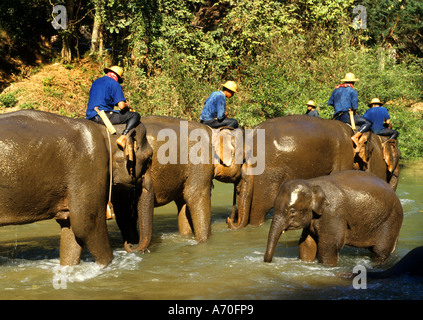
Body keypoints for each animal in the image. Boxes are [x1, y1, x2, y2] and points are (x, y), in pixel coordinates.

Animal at [0, 111, 152, 266]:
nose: (130, 244)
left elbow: (70, 228)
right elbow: (86, 226)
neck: (105, 131)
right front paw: (106, 266)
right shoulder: (89, 167)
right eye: (149, 159)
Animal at [121, 114, 243, 250]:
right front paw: (204, 243)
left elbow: (183, 202)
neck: (213, 131)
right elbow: (195, 196)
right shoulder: (199, 160)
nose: (229, 220)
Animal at [264, 171, 404, 266]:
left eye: (292, 211)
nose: (268, 261)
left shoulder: (333, 213)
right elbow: (307, 244)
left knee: (380, 251)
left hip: (391, 220)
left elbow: (329, 246)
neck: (311, 183)